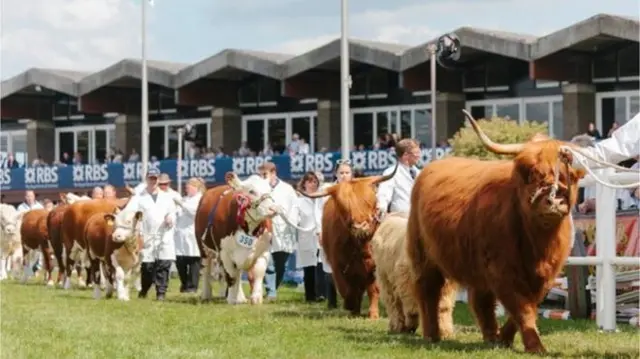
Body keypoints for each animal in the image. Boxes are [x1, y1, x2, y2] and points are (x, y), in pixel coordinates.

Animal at [195, 173, 316, 306]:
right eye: (251, 191)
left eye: (270, 190)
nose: (273, 209)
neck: (249, 228)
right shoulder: (225, 253)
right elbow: (231, 275)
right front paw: (231, 299)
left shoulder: (264, 250)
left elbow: (258, 273)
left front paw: (256, 299)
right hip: (203, 249)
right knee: (206, 270)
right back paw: (206, 295)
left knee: (238, 272)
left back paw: (240, 298)